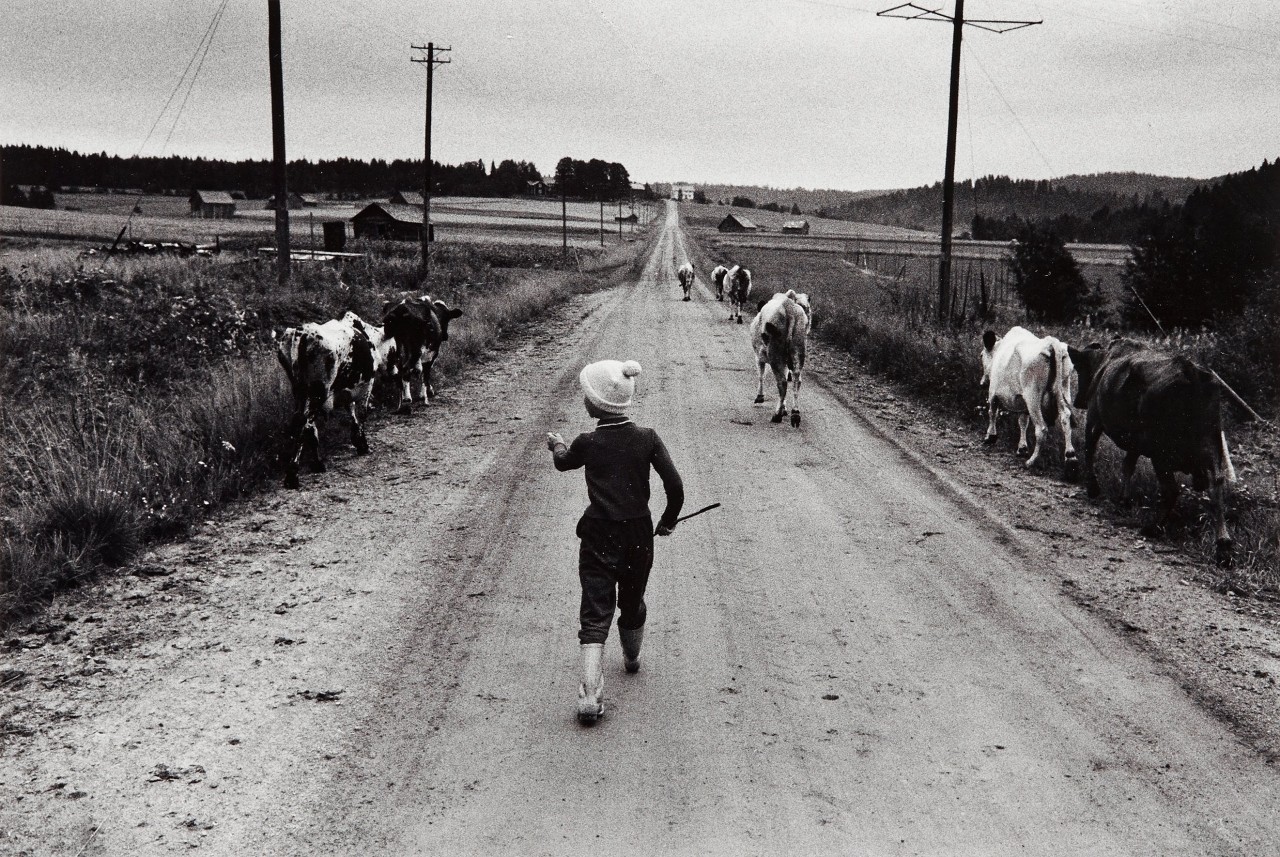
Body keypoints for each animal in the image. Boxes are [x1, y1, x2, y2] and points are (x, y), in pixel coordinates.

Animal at [279, 312, 394, 491]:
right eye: (394, 349)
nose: (395, 374)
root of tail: (302, 332)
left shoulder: (346, 387)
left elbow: (351, 411)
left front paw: (357, 440)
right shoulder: (366, 386)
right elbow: (361, 414)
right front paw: (363, 444)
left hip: (301, 393)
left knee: (305, 424)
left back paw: (317, 464)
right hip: (318, 393)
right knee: (305, 424)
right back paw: (293, 475)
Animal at [747, 291, 814, 429]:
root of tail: (789, 307)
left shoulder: (759, 356)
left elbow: (761, 375)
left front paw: (760, 397)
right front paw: (784, 409)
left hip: (775, 355)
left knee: (782, 383)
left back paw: (777, 415)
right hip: (798, 351)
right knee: (796, 380)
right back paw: (795, 414)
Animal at [977, 327, 1080, 480]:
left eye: (981, 355)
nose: (982, 382)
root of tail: (1051, 343)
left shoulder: (993, 392)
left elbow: (992, 412)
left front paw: (990, 437)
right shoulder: (1022, 403)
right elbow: (1023, 422)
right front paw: (1022, 448)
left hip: (1033, 395)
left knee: (1041, 428)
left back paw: (1032, 461)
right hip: (1063, 389)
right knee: (1065, 417)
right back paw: (1071, 460)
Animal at [1070, 340, 1239, 567]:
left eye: (1079, 367)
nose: (1078, 401)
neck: (1105, 363)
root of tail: (1191, 371)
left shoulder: (1094, 418)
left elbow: (1090, 451)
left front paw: (1093, 488)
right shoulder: (1135, 441)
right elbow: (1128, 466)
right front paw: (1124, 499)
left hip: (1161, 453)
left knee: (1171, 490)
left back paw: (1153, 528)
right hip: (1211, 443)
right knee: (1216, 486)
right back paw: (1223, 546)